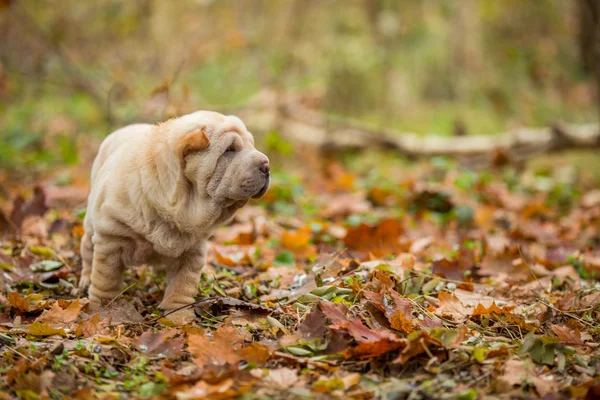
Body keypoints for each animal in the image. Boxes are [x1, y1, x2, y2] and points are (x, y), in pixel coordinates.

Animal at [79, 110, 270, 322]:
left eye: (251, 144)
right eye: (229, 150)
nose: (267, 166)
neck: (180, 206)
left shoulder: (192, 252)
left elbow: (182, 286)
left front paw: (179, 317)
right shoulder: (111, 239)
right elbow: (106, 279)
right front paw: (104, 309)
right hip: (92, 225)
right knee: (87, 252)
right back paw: (85, 280)